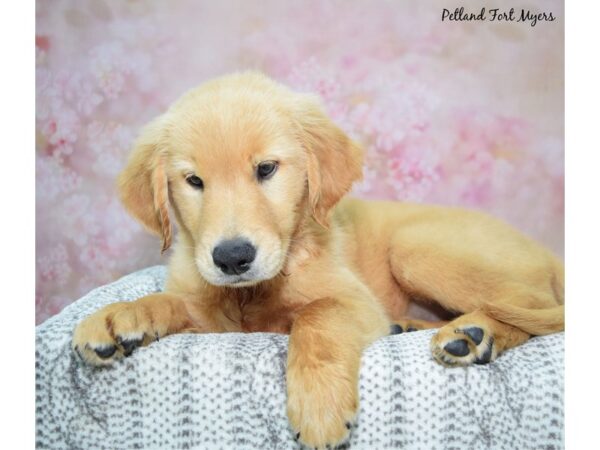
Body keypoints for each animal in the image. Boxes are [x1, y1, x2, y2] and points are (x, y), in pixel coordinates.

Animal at [72, 72, 564, 448]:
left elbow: (317, 318)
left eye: (266, 169)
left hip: (415, 247)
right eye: (194, 181)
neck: (258, 290)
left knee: (532, 303)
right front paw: (120, 317)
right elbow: (171, 303)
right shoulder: (211, 315)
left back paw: (474, 333)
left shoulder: (351, 300)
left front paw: (319, 406)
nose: (232, 258)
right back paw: (428, 328)